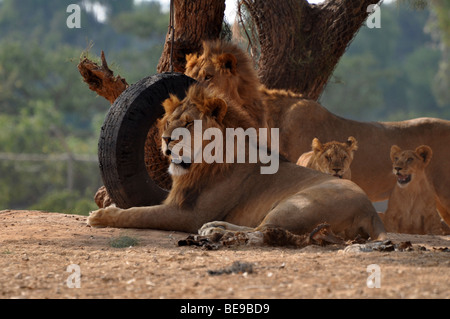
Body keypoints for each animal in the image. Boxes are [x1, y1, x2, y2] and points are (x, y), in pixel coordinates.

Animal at [89, 85, 386, 242]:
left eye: (188, 123)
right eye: (168, 121)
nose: (165, 139)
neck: (201, 166)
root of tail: (371, 210)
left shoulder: (188, 214)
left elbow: (139, 213)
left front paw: (102, 216)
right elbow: (140, 209)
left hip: (298, 203)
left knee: (262, 232)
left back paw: (215, 231)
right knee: (259, 229)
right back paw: (215, 228)